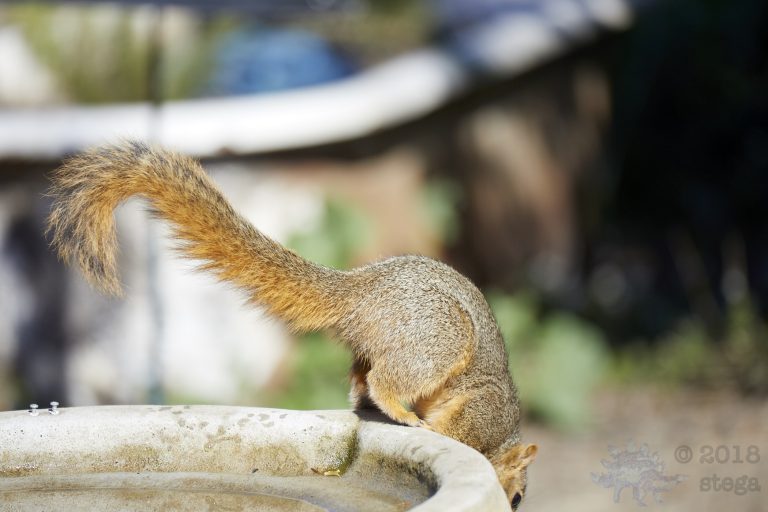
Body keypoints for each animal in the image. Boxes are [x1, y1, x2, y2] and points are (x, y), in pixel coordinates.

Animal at [45, 142, 537, 509]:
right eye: (515, 497)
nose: (512, 507)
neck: (501, 438)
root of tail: (361, 291)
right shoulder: (480, 414)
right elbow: (455, 433)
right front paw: (435, 432)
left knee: (361, 380)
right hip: (437, 340)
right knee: (386, 379)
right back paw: (402, 413)